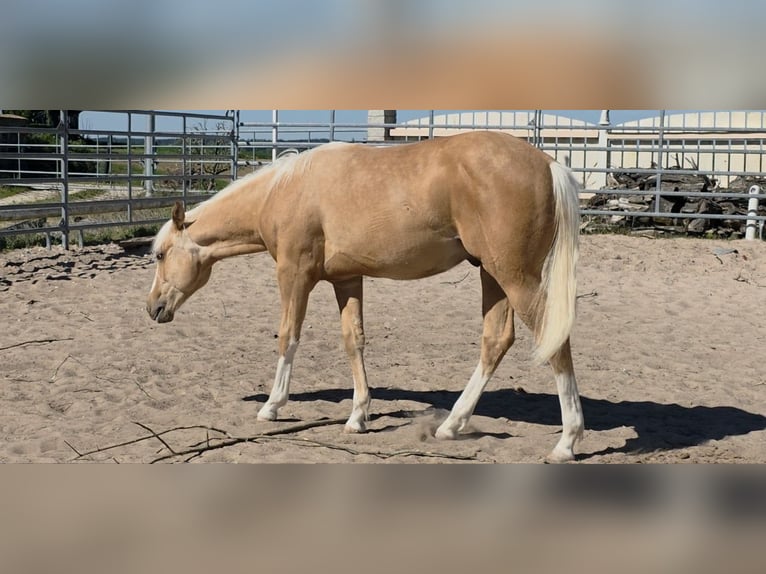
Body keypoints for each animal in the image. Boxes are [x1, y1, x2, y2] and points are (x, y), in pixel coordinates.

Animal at [146, 131, 584, 462]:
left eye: (161, 254)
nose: (153, 308)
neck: (285, 190)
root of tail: (547, 164)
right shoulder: (347, 279)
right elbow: (352, 341)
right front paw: (357, 416)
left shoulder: (294, 274)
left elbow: (288, 337)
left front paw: (272, 406)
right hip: (492, 276)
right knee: (496, 341)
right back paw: (450, 425)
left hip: (515, 278)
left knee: (555, 343)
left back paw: (566, 442)